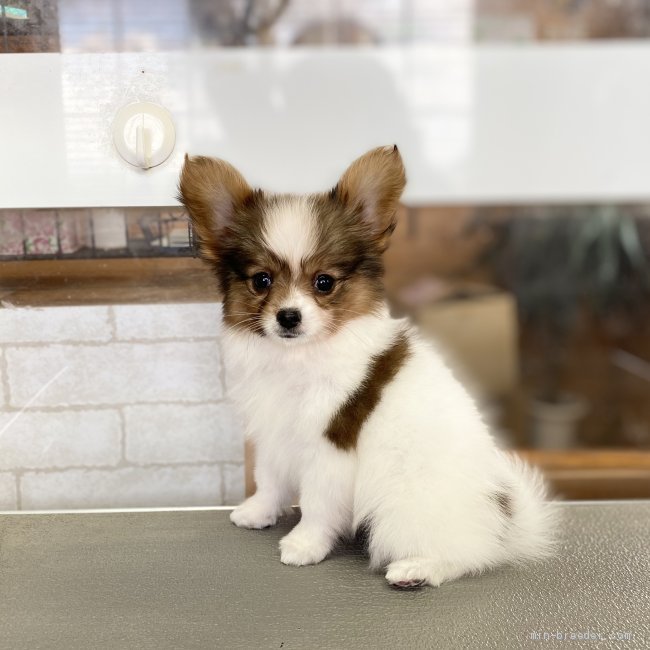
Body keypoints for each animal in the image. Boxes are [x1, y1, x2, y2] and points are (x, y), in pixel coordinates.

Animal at [180, 146, 556, 588]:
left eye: (324, 282)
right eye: (261, 281)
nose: (288, 317)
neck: (298, 357)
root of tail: (504, 524)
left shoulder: (330, 447)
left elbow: (317, 503)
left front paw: (305, 544)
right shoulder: (274, 434)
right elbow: (270, 478)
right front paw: (259, 511)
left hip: (404, 510)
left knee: (464, 556)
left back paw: (417, 569)